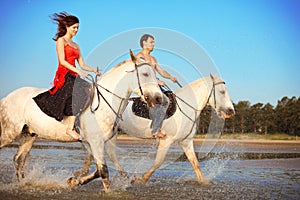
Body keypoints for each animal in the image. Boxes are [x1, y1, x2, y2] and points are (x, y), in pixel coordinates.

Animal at [0, 51, 162, 192]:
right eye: (145, 74)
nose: (159, 98)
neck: (105, 103)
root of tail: (7, 98)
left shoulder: (95, 143)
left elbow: (97, 170)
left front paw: (74, 181)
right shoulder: (95, 142)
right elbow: (103, 171)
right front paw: (108, 192)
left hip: (28, 135)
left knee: (18, 160)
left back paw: (23, 184)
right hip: (9, 132)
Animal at [102, 74, 236, 185]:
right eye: (222, 91)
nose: (231, 111)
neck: (186, 107)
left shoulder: (186, 142)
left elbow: (195, 164)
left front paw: (204, 182)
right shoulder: (166, 140)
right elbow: (158, 162)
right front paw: (141, 180)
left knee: (111, 154)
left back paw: (124, 175)